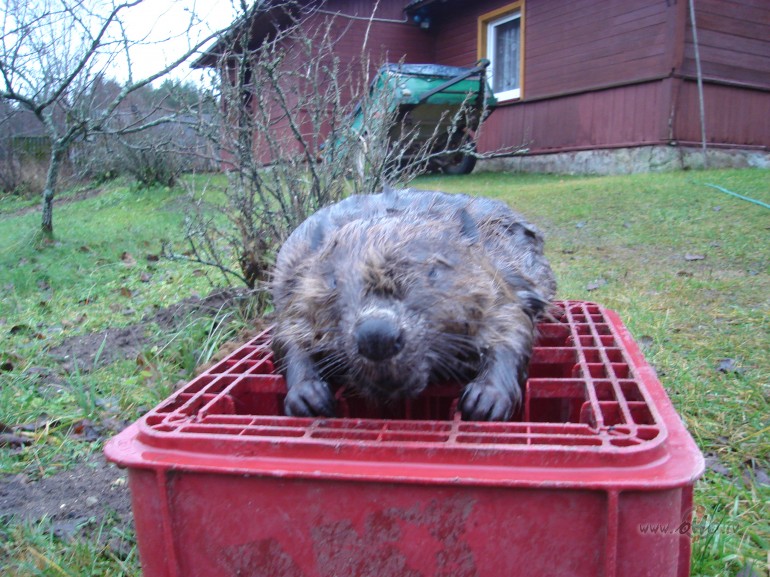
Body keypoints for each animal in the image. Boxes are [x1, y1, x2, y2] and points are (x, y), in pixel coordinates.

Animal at [270, 188, 552, 418]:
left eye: (434, 271)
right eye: (333, 280)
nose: (376, 337)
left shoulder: (501, 277)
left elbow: (513, 325)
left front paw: (485, 400)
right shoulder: (293, 282)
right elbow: (286, 336)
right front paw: (309, 397)